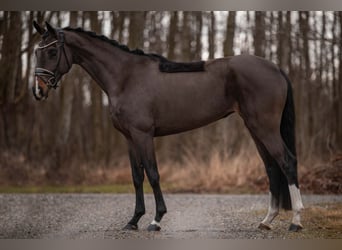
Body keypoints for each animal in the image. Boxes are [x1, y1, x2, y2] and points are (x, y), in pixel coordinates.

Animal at [32, 21, 304, 232]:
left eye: (53, 51)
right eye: (36, 52)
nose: (38, 90)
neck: (126, 77)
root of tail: (276, 68)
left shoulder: (143, 135)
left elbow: (153, 174)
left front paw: (156, 220)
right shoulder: (129, 138)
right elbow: (136, 177)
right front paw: (133, 221)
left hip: (265, 127)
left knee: (287, 162)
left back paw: (296, 221)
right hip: (255, 128)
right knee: (271, 167)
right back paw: (267, 220)